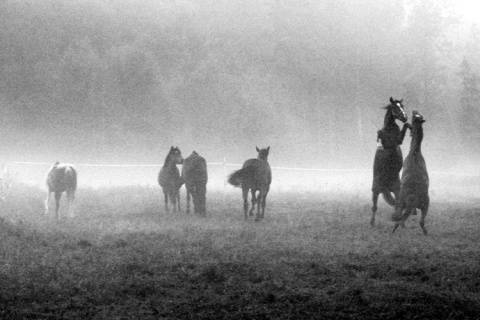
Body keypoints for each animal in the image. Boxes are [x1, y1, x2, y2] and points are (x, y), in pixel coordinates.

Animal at [370, 96, 410, 226]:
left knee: (398, 204)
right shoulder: (391, 143)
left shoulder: (398, 141)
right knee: (374, 207)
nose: (405, 117)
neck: (390, 129)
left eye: (402, 106)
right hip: (376, 190)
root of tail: (386, 186)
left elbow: (405, 128)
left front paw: (409, 125)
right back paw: (372, 222)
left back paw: (400, 221)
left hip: (397, 190)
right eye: (394, 107)